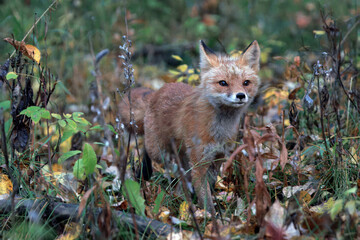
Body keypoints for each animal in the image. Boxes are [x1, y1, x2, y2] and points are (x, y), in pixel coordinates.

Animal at [119, 39, 260, 212]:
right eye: (223, 83)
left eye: (246, 83)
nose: (240, 95)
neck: (219, 131)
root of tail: (158, 91)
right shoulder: (199, 161)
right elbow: (205, 197)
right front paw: (210, 217)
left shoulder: (218, 157)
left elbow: (209, 186)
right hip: (159, 151)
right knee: (147, 149)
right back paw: (144, 172)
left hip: (183, 155)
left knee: (182, 179)